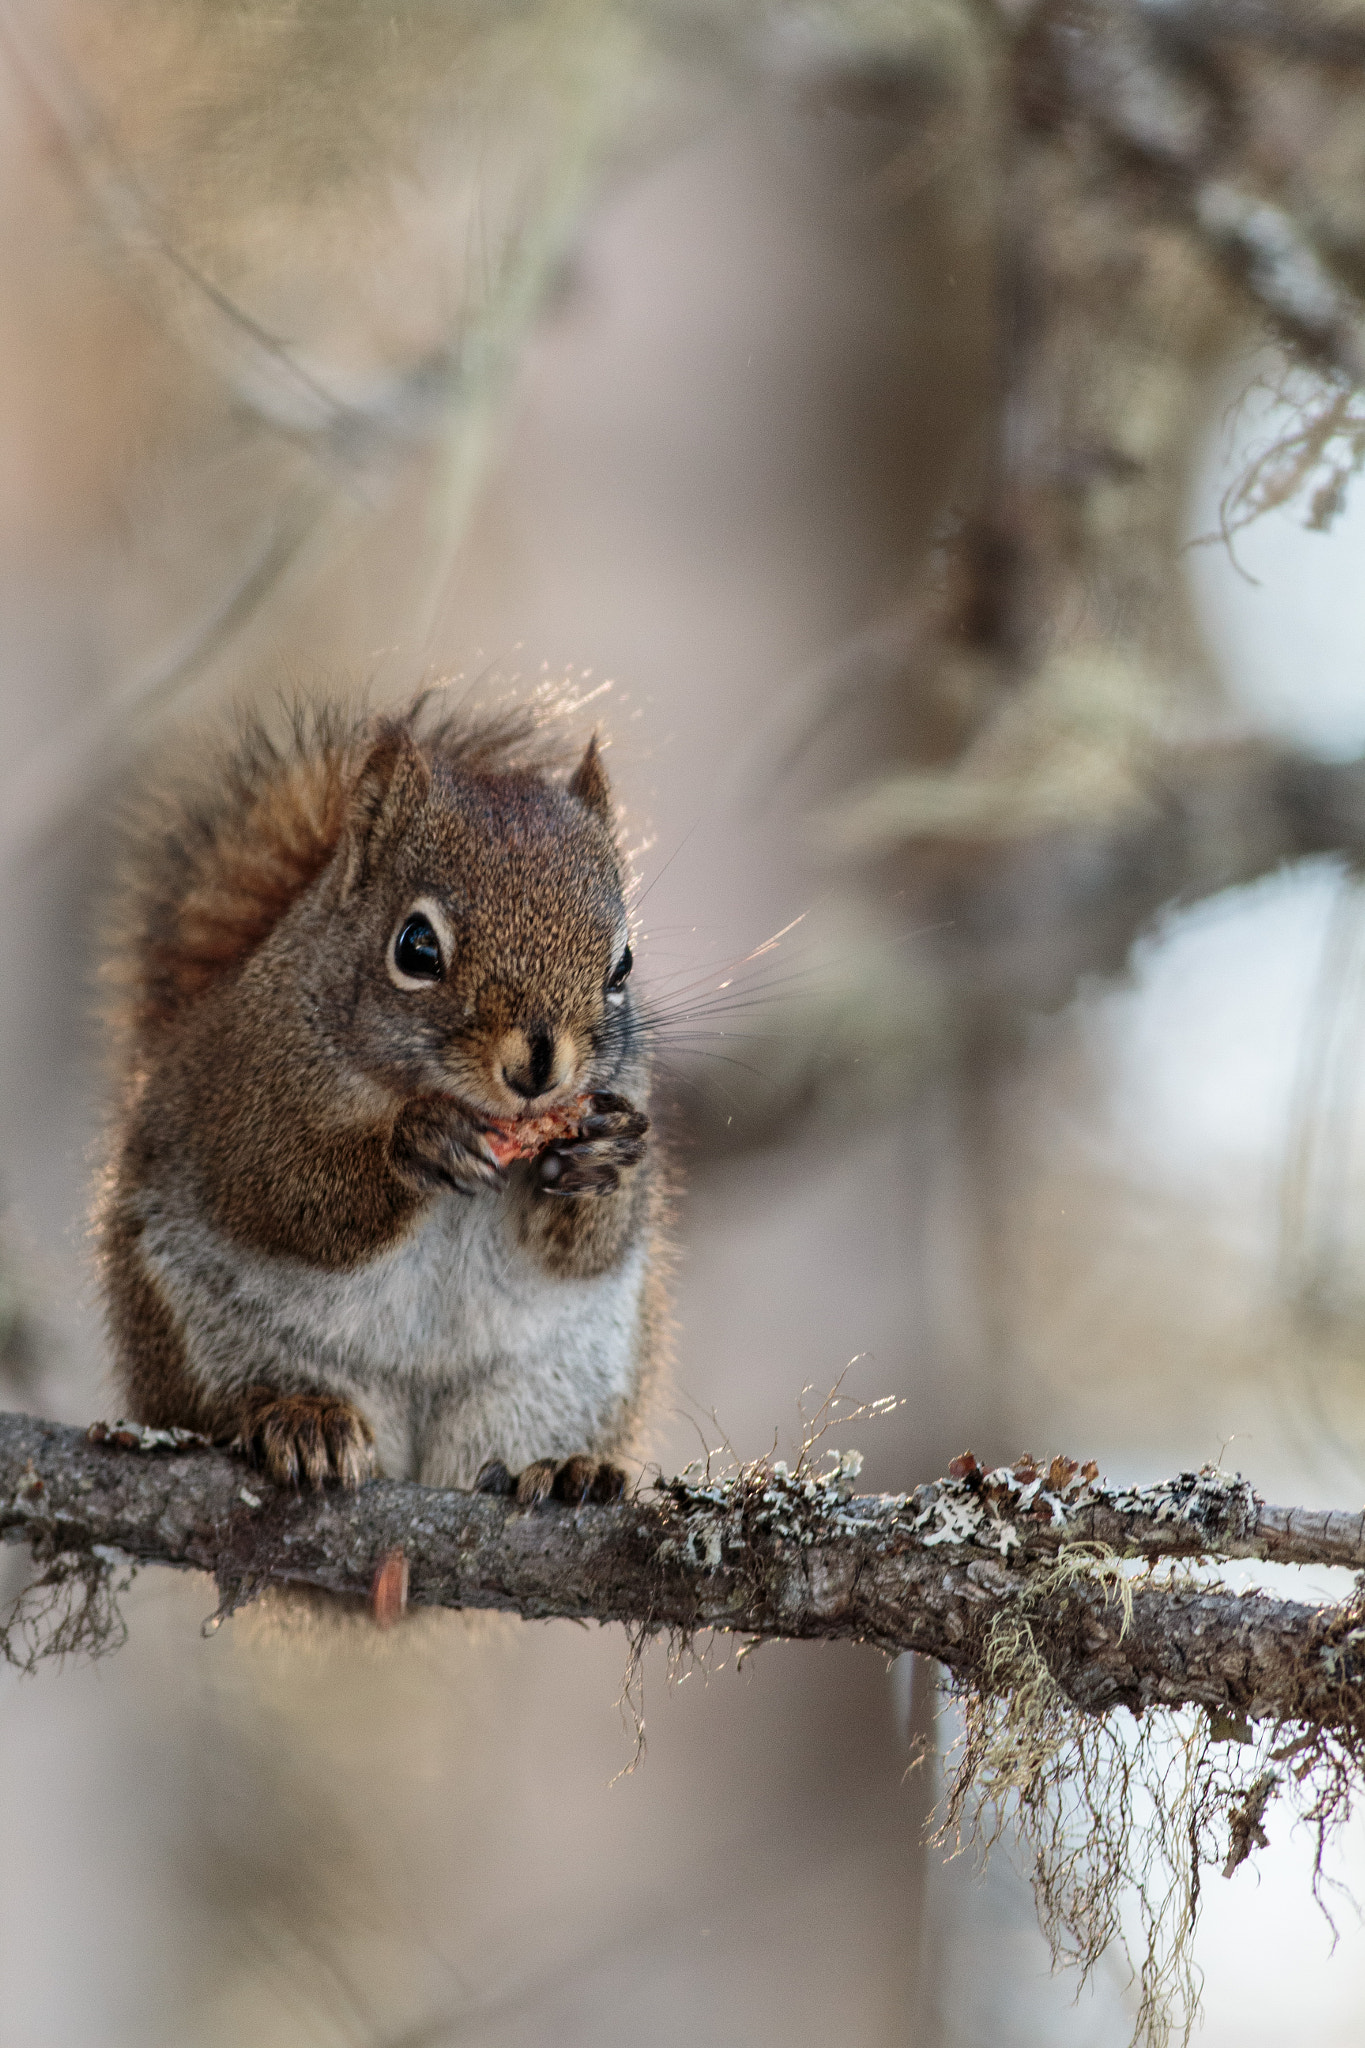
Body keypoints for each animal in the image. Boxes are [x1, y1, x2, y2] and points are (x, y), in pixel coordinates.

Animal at [94, 692, 667, 1507]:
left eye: (623, 964)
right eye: (415, 947)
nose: (538, 1068)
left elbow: (589, 1245)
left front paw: (602, 1156)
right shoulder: (240, 1095)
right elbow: (280, 1192)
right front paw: (417, 1143)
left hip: (557, 1383)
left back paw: (561, 1472)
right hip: (200, 1334)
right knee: (227, 1404)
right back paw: (303, 1419)